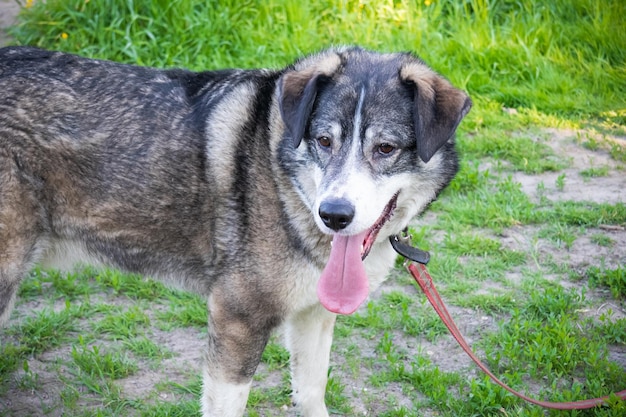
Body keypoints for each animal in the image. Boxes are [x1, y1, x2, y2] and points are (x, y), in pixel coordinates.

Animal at [0, 44, 468, 414]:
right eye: (323, 141)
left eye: (385, 148)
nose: (333, 215)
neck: (282, 178)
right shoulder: (237, 318)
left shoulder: (314, 316)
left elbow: (311, 393)